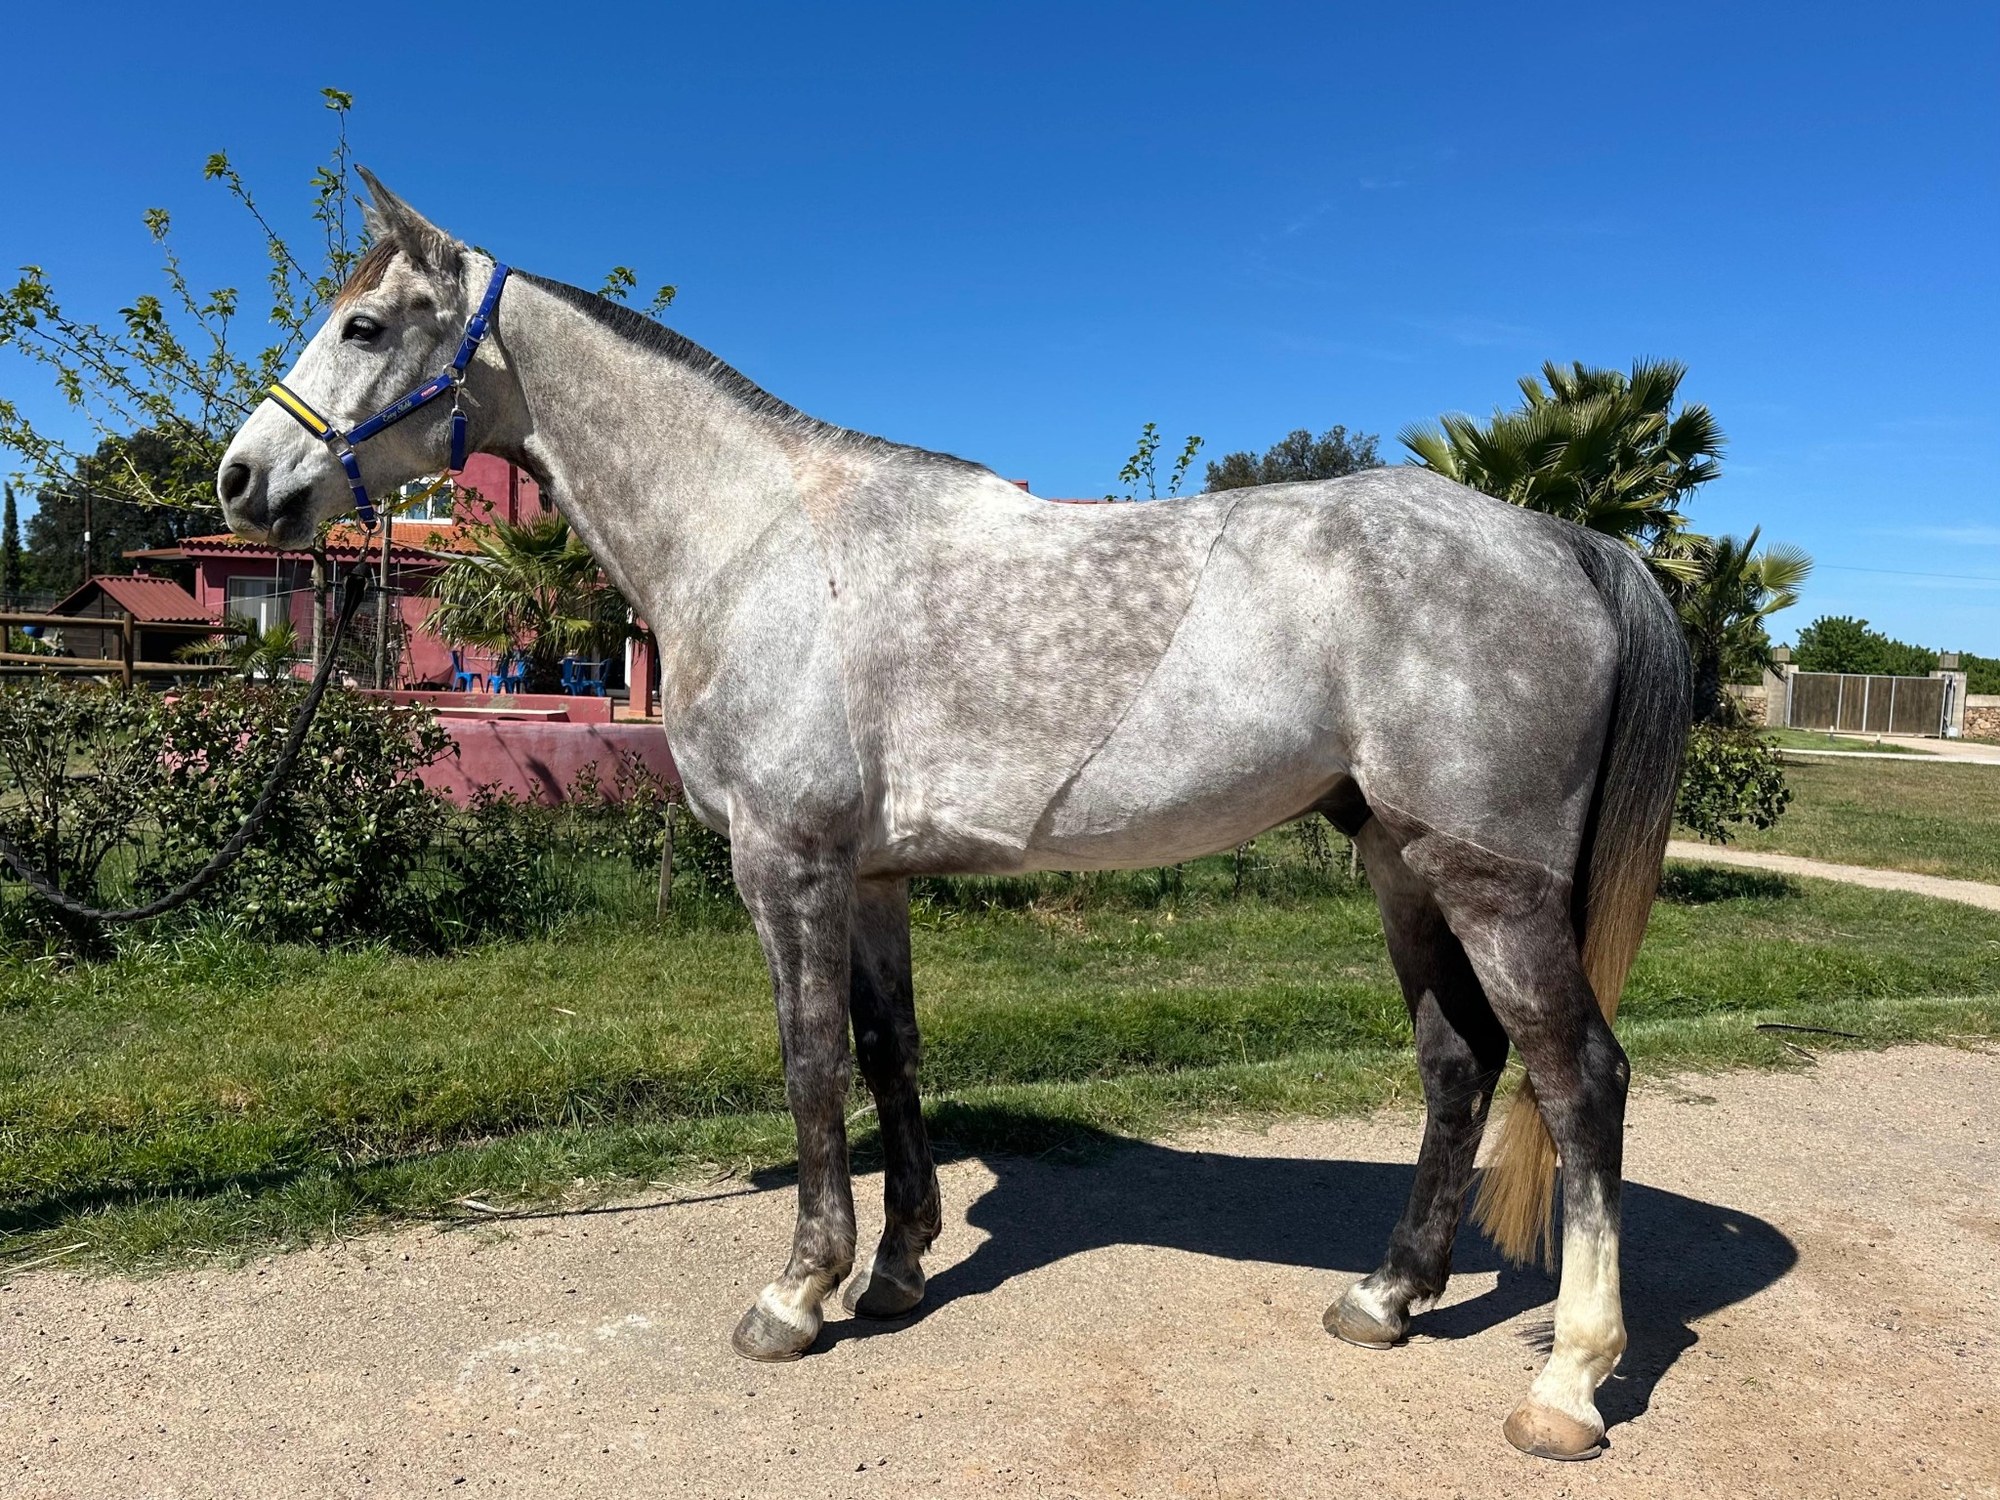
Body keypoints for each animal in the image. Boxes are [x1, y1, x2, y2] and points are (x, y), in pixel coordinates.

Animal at [216, 171, 1689, 1462]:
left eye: (364, 326)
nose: (238, 480)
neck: (761, 539)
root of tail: (1567, 540)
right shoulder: (869, 881)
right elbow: (889, 1058)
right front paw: (894, 1272)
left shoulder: (787, 867)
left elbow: (811, 1067)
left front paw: (796, 1295)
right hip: (1396, 862)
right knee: (1458, 1067)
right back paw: (1385, 1299)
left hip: (1489, 883)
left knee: (1579, 1079)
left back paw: (1567, 1384)